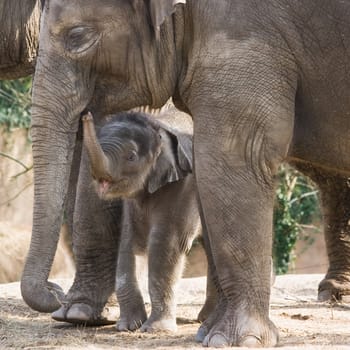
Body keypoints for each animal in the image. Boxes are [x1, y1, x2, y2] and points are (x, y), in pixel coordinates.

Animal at [82, 108, 213, 330]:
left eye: (131, 156)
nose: (86, 115)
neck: (159, 126)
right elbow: (129, 244)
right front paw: (127, 326)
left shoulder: (184, 186)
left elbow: (165, 244)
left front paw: (155, 329)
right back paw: (206, 318)